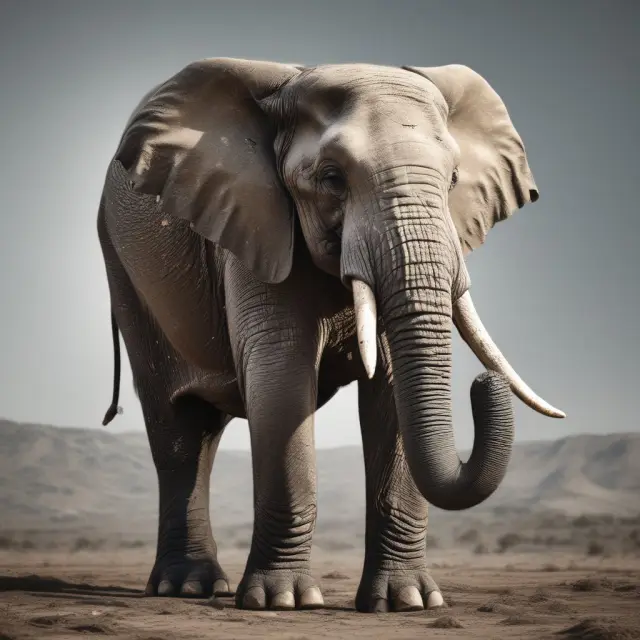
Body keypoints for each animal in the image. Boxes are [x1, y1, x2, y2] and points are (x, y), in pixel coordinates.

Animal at [97, 57, 565, 613]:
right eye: (332, 178)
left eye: (453, 179)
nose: (483, 385)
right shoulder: (257, 222)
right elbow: (281, 376)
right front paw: (281, 602)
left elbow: (390, 389)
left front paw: (408, 603)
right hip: (125, 273)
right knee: (178, 432)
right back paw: (187, 587)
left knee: (203, 434)